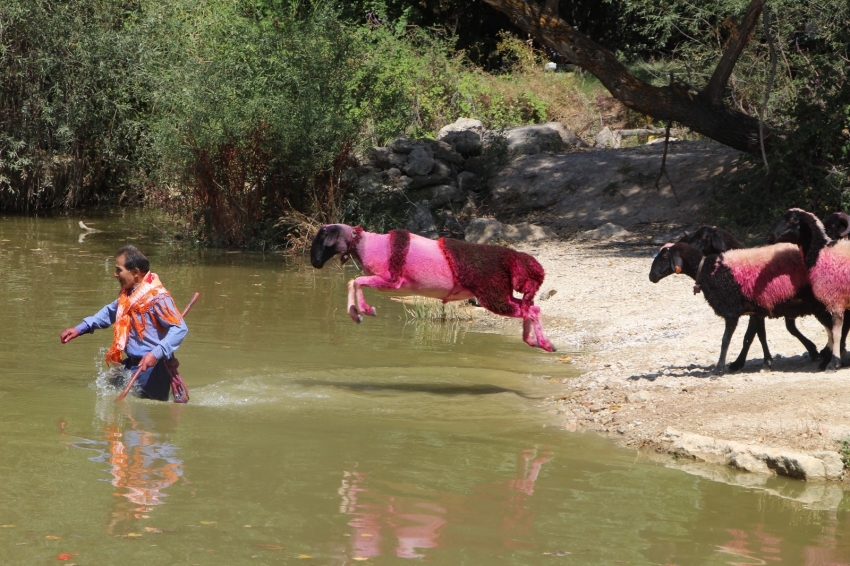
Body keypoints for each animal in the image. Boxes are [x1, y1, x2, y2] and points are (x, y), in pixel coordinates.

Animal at [312, 224, 556, 352]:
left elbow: (357, 281)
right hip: (499, 293)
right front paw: (356, 313)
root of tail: (512, 258)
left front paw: (364, 310)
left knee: (529, 310)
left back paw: (543, 342)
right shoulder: (388, 284)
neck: (364, 244)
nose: (314, 262)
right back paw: (534, 341)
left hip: (492, 296)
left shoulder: (392, 282)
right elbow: (352, 282)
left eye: (321, 239)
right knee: (530, 308)